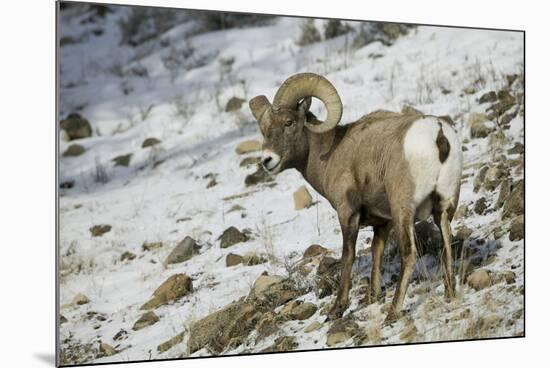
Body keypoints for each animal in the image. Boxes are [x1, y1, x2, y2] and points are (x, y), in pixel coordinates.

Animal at [252, 72, 464, 322]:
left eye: (289, 122)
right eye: (264, 128)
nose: (267, 161)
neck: (331, 153)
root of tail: (438, 134)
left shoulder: (348, 214)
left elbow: (348, 256)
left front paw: (337, 309)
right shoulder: (382, 223)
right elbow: (376, 251)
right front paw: (372, 297)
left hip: (403, 209)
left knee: (409, 253)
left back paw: (393, 312)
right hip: (444, 207)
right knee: (446, 243)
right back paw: (449, 294)